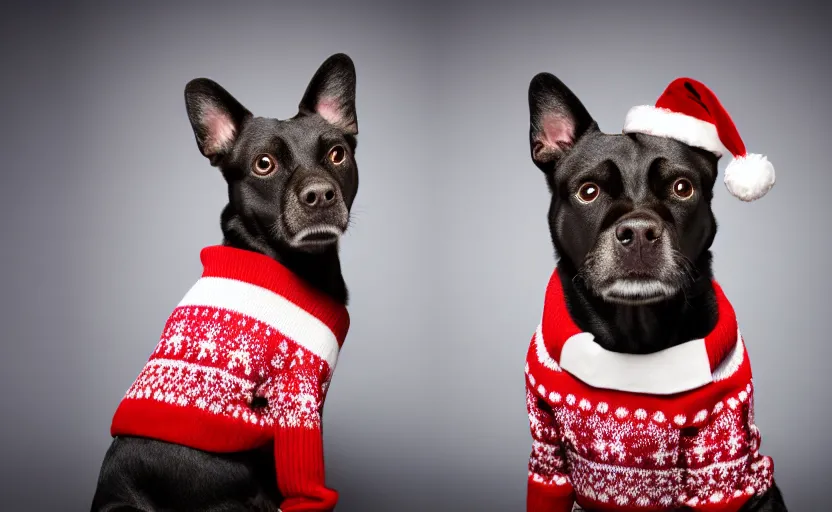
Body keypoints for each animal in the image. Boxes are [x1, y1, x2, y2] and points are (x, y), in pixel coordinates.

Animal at [90, 53, 358, 512]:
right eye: (263, 165)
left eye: (337, 154)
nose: (320, 194)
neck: (290, 262)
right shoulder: (298, 398)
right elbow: (305, 479)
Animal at [528, 73, 788, 512]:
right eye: (588, 191)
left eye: (682, 188)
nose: (638, 233)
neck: (634, 337)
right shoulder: (547, 455)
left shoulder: (721, 462)